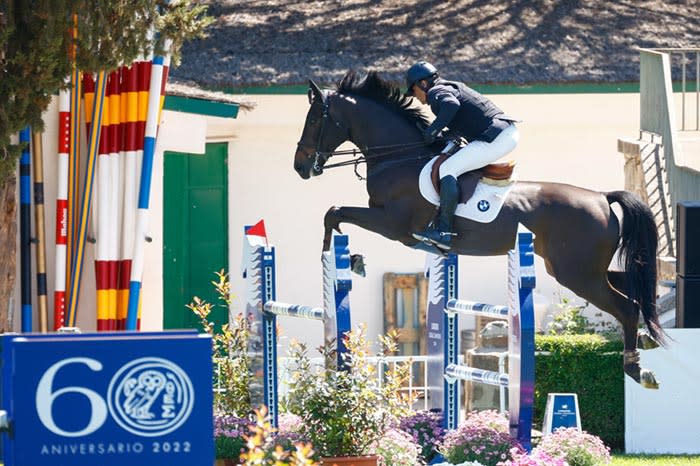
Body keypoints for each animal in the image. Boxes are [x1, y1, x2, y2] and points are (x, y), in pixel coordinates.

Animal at [292, 70, 664, 390]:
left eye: (314, 120)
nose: (299, 167)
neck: (398, 157)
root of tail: (602, 197)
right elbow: (334, 213)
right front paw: (348, 260)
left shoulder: (392, 224)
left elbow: (334, 212)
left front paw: (341, 260)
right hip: (577, 269)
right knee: (632, 285)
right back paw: (646, 338)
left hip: (577, 273)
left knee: (626, 306)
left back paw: (636, 367)